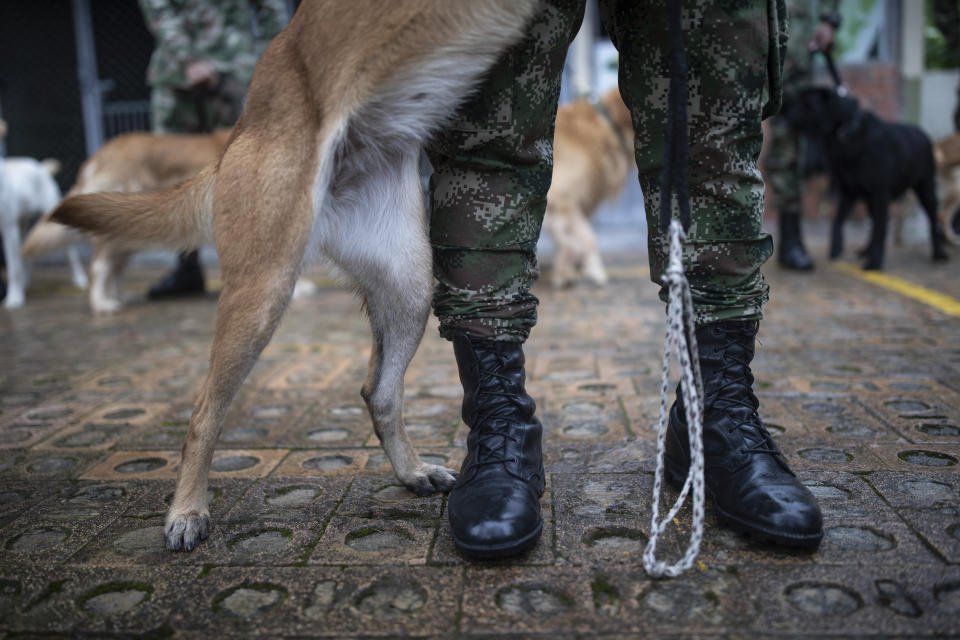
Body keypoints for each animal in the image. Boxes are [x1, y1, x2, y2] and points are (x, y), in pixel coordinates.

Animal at [48, 0, 540, 552]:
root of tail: (236, 134)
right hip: (264, 287)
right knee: (203, 412)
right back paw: (187, 511)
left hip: (411, 282)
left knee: (379, 392)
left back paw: (411, 471)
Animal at [784, 87, 948, 270]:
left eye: (806, 102)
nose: (783, 107)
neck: (846, 132)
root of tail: (923, 134)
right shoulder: (848, 191)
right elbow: (837, 221)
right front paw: (836, 248)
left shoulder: (880, 193)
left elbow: (879, 230)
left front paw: (874, 262)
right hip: (871, 199)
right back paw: (866, 250)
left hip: (925, 188)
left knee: (932, 219)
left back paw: (938, 253)